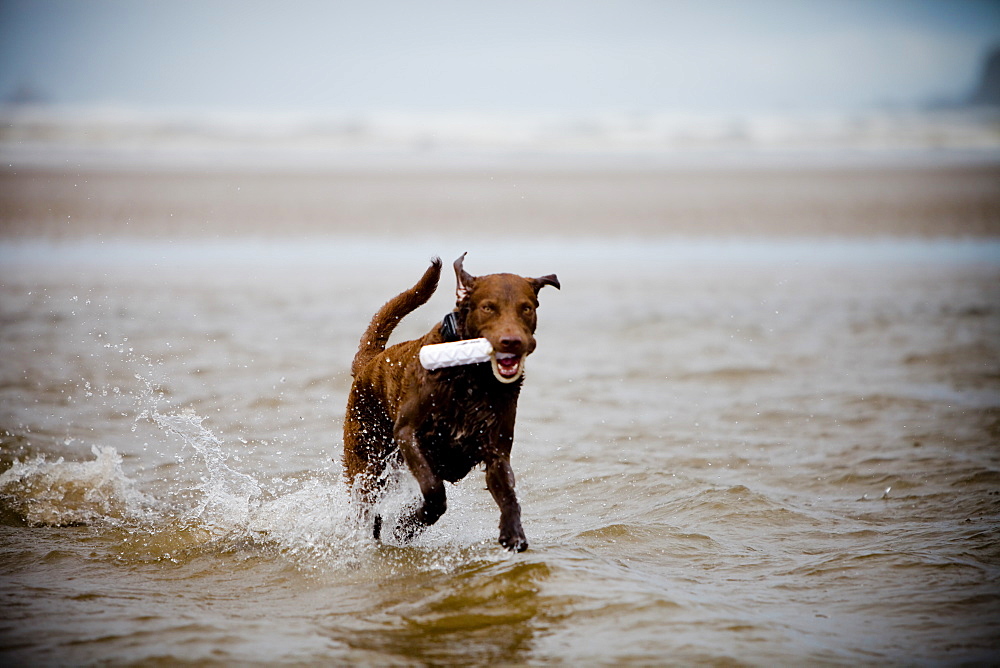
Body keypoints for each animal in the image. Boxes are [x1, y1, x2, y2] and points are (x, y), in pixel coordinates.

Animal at [344, 253, 560, 552]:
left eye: (526, 308)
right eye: (488, 307)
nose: (512, 341)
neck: (471, 377)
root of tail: (370, 363)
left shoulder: (496, 450)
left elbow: (508, 494)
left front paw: (513, 532)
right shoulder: (408, 433)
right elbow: (434, 490)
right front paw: (406, 525)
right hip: (368, 459)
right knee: (365, 502)